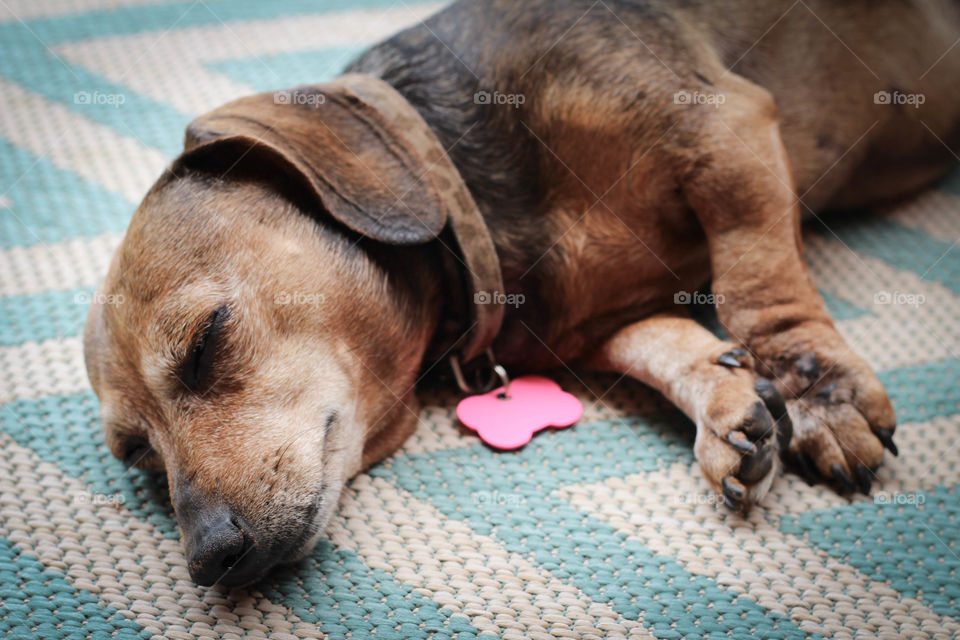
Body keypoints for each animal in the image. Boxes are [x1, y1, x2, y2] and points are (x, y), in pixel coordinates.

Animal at [82, 0, 960, 588]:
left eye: (207, 340)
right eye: (139, 455)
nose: (208, 560)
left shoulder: (724, 133)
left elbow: (756, 283)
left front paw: (818, 392)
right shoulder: (599, 327)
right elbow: (671, 347)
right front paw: (728, 403)